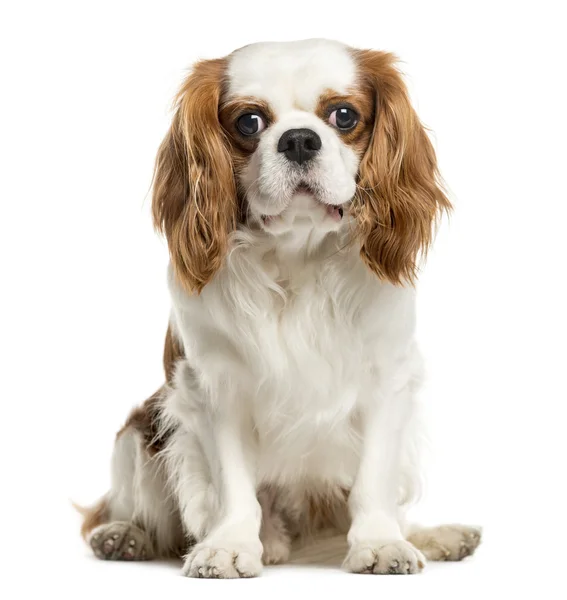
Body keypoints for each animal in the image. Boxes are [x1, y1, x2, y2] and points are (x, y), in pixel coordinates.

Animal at [77, 37, 482, 576]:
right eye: (249, 122)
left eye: (344, 115)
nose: (299, 140)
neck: (297, 257)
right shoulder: (214, 385)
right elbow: (233, 484)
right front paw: (229, 546)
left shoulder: (387, 378)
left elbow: (374, 480)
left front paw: (381, 543)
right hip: (138, 435)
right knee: (136, 514)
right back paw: (125, 535)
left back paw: (435, 536)